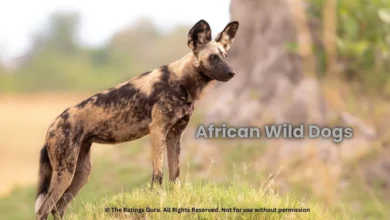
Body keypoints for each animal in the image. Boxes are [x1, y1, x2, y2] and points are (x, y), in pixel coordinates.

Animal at [35, 19, 239, 219]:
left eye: (225, 56)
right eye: (213, 57)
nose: (232, 73)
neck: (183, 81)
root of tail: (52, 125)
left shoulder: (175, 135)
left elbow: (175, 175)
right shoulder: (158, 131)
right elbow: (158, 175)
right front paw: (157, 201)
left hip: (81, 173)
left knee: (57, 208)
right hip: (65, 172)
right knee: (43, 209)